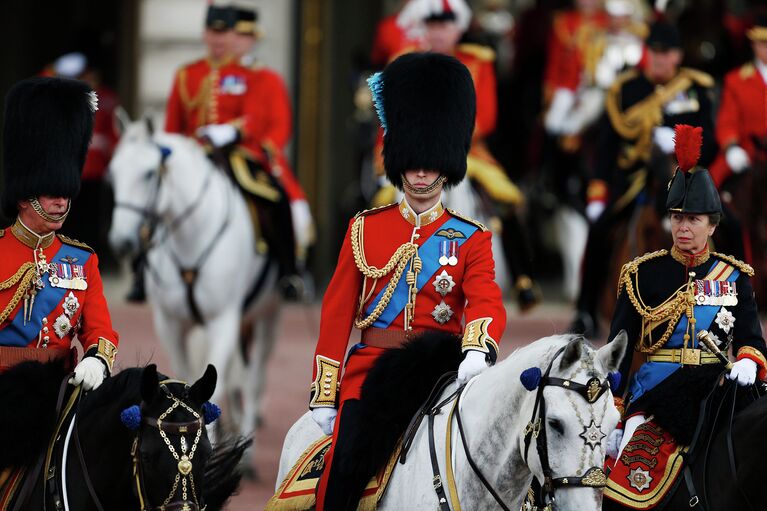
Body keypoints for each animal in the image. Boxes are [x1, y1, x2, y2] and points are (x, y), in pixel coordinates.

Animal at [109, 117, 280, 444]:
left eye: (149, 173)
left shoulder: (223, 320)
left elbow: (217, 384)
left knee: (254, 378)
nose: (121, 242)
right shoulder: (171, 323)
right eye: (113, 173)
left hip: (267, 313)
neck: (191, 235)